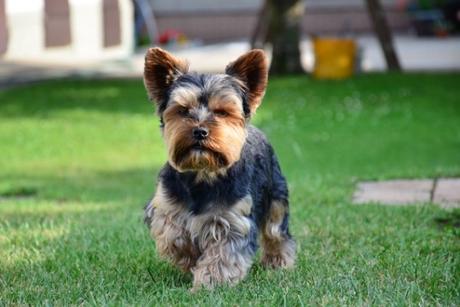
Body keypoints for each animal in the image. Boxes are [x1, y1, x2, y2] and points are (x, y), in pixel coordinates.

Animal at [142, 48, 296, 292]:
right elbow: (173, 234)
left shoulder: (233, 219)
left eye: (222, 112)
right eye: (183, 110)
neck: (203, 172)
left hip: (276, 196)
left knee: (276, 231)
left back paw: (277, 262)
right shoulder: (165, 206)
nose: (200, 131)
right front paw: (190, 256)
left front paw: (210, 283)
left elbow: (224, 254)